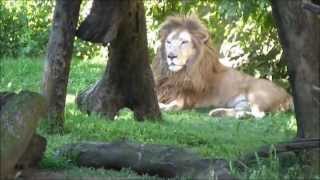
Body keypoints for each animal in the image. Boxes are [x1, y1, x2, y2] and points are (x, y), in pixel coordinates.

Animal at [152, 15, 292, 119]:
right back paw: (220, 112)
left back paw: (240, 115)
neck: (178, 74)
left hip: (257, 94)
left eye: (184, 42)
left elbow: (171, 106)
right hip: (242, 103)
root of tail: (288, 95)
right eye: (168, 42)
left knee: (260, 115)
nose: (171, 56)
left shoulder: (187, 99)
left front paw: (162, 106)